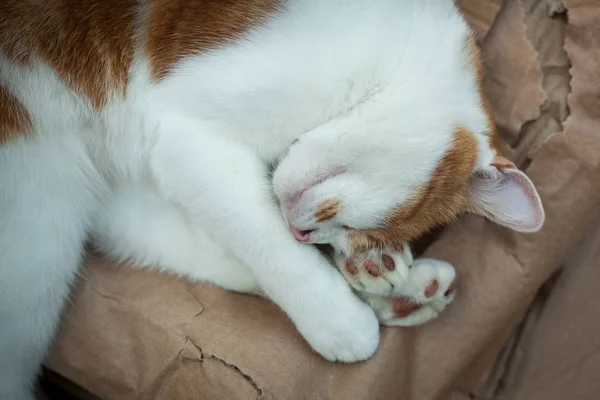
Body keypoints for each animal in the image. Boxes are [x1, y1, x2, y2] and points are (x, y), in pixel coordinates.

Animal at [0, 1, 544, 398]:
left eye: (352, 236)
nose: (305, 233)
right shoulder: (184, 136)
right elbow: (259, 235)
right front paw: (341, 319)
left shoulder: (140, 168)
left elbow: (221, 244)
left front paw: (385, 282)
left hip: (57, 209)